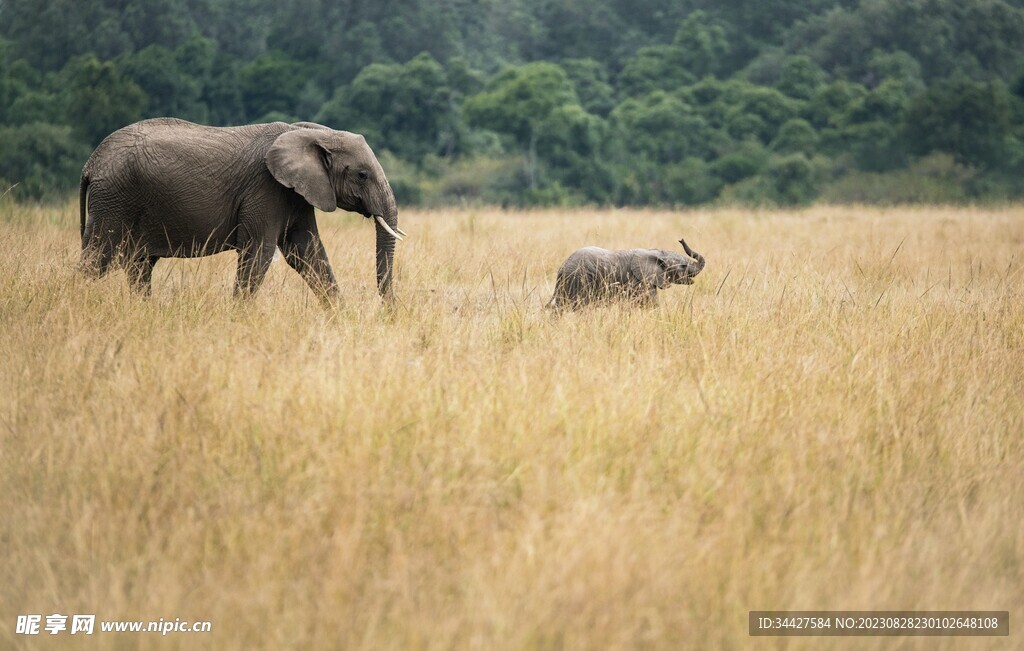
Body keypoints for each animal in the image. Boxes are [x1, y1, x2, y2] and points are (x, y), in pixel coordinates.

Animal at [78, 118, 403, 302]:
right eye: (362, 175)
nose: (387, 313)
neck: (309, 132)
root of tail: (91, 163)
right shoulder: (265, 189)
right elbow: (259, 252)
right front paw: (237, 318)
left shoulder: (294, 194)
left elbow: (307, 253)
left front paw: (339, 317)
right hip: (115, 200)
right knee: (97, 260)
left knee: (139, 266)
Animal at [552, 239, 704, 311]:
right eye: (683, 266)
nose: (681, 240)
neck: (655, 252)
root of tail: (562, 268)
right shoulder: (639, 281)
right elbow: (650, 304)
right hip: (579, 280)